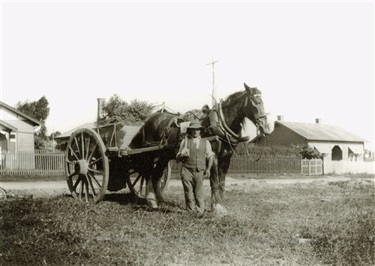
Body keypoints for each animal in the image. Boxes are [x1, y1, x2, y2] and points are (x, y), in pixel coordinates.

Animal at [129, 83, 270, 214]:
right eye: (256, 102)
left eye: (263, 102)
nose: (266, 128)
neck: (219, 125)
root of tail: (148, 121)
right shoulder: (214, 156)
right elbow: (215, 181)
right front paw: (216, 207)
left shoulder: (226, 159)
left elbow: (222, 183)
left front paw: (221, 205)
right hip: (151, 154)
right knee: (147, 173)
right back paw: (151, 201)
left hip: (164, 156)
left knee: (156, 175)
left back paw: (160, 201)